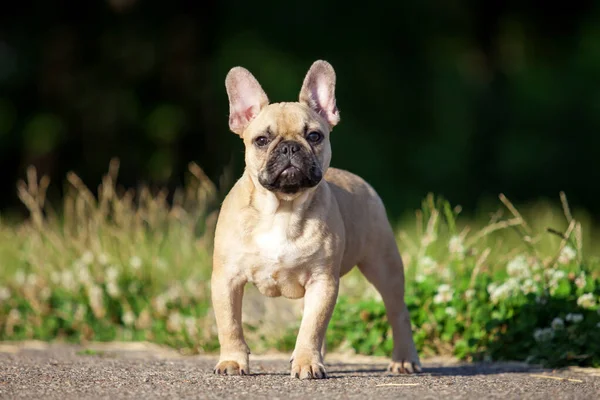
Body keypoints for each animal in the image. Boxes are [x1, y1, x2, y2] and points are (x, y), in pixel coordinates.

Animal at [211, 58, 422, 378]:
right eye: (261, 140)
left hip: (383, 266)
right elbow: (230, 324)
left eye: (314, 136)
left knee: (398, 312)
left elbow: (312, 327)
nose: (289, 146)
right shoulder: (227, 279)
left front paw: (307, 363)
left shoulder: (323, 281)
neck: (282, 210)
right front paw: (233, 361)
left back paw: (404, 359)